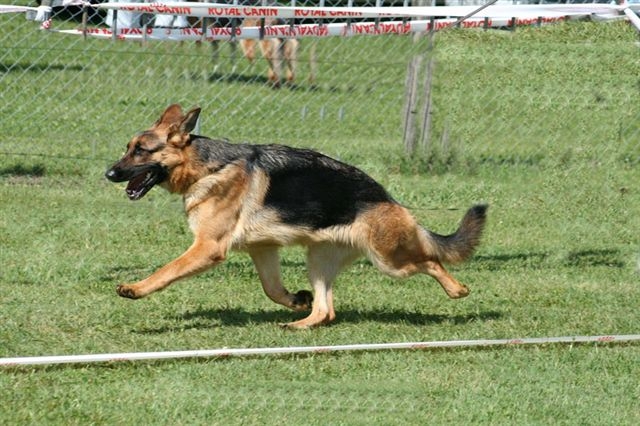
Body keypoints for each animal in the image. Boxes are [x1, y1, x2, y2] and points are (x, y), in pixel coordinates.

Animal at [105, 104, 488, 330]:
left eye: (141, 151)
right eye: (128, 148)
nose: (108, 174)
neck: (206, 166)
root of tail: (387, 198)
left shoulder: (207, 248)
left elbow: (166, 271)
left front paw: (136, 288)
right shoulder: (263, 249)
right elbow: (272, 288)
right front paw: (295, 300)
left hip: (389, 260)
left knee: (431, 261)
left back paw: (457, 288)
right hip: (318, 259)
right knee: (326, 310)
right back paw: (301, 322)